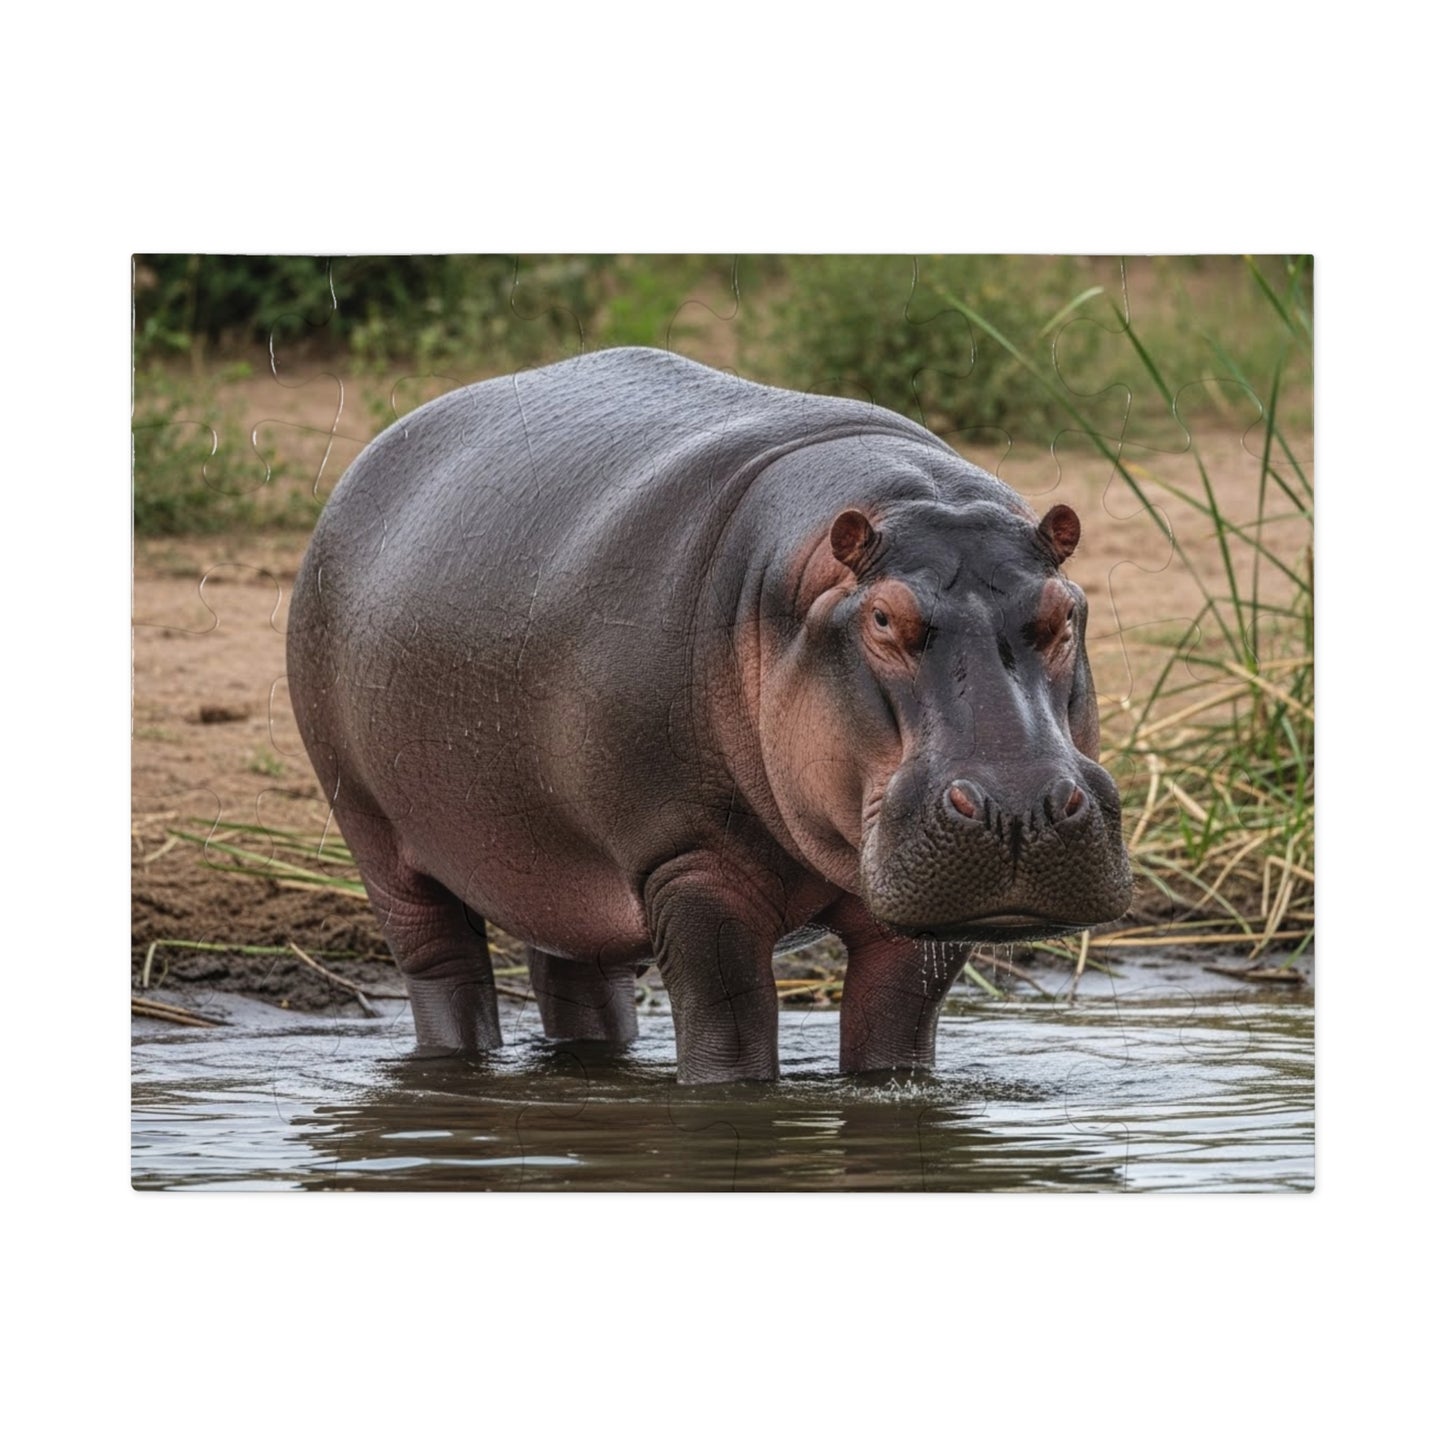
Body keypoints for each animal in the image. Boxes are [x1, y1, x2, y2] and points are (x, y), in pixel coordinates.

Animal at [287, 347, 1132, 1082]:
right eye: (883, 619)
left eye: (1063, 611)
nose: (1018, 806)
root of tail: (372, 458)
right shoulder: (685, 858)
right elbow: (730, 1018)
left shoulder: (918, 910)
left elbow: (897, 1021)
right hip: (373, 832)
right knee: (443, 967)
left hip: (554, 854)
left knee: (577, 975)